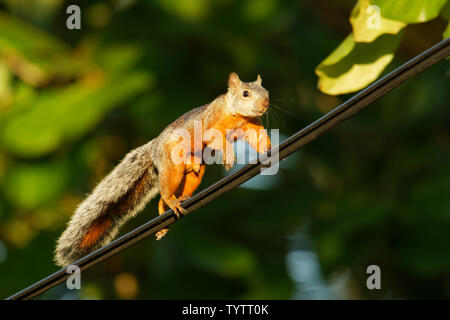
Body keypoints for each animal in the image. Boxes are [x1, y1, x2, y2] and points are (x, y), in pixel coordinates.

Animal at [52, 72, 270, 268]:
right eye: (245, 93)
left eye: (266, 92)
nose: (265, 104)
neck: (236, 114)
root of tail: (154, 148)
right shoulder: (211, 120)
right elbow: (213, 137)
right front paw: (228, 155)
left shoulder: (251, 125)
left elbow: (258, 139)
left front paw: (268, 149)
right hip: (172, 166)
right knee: (165, 192)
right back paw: (171, 203)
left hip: (192, 176)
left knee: (166, 197)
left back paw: (170, 213)